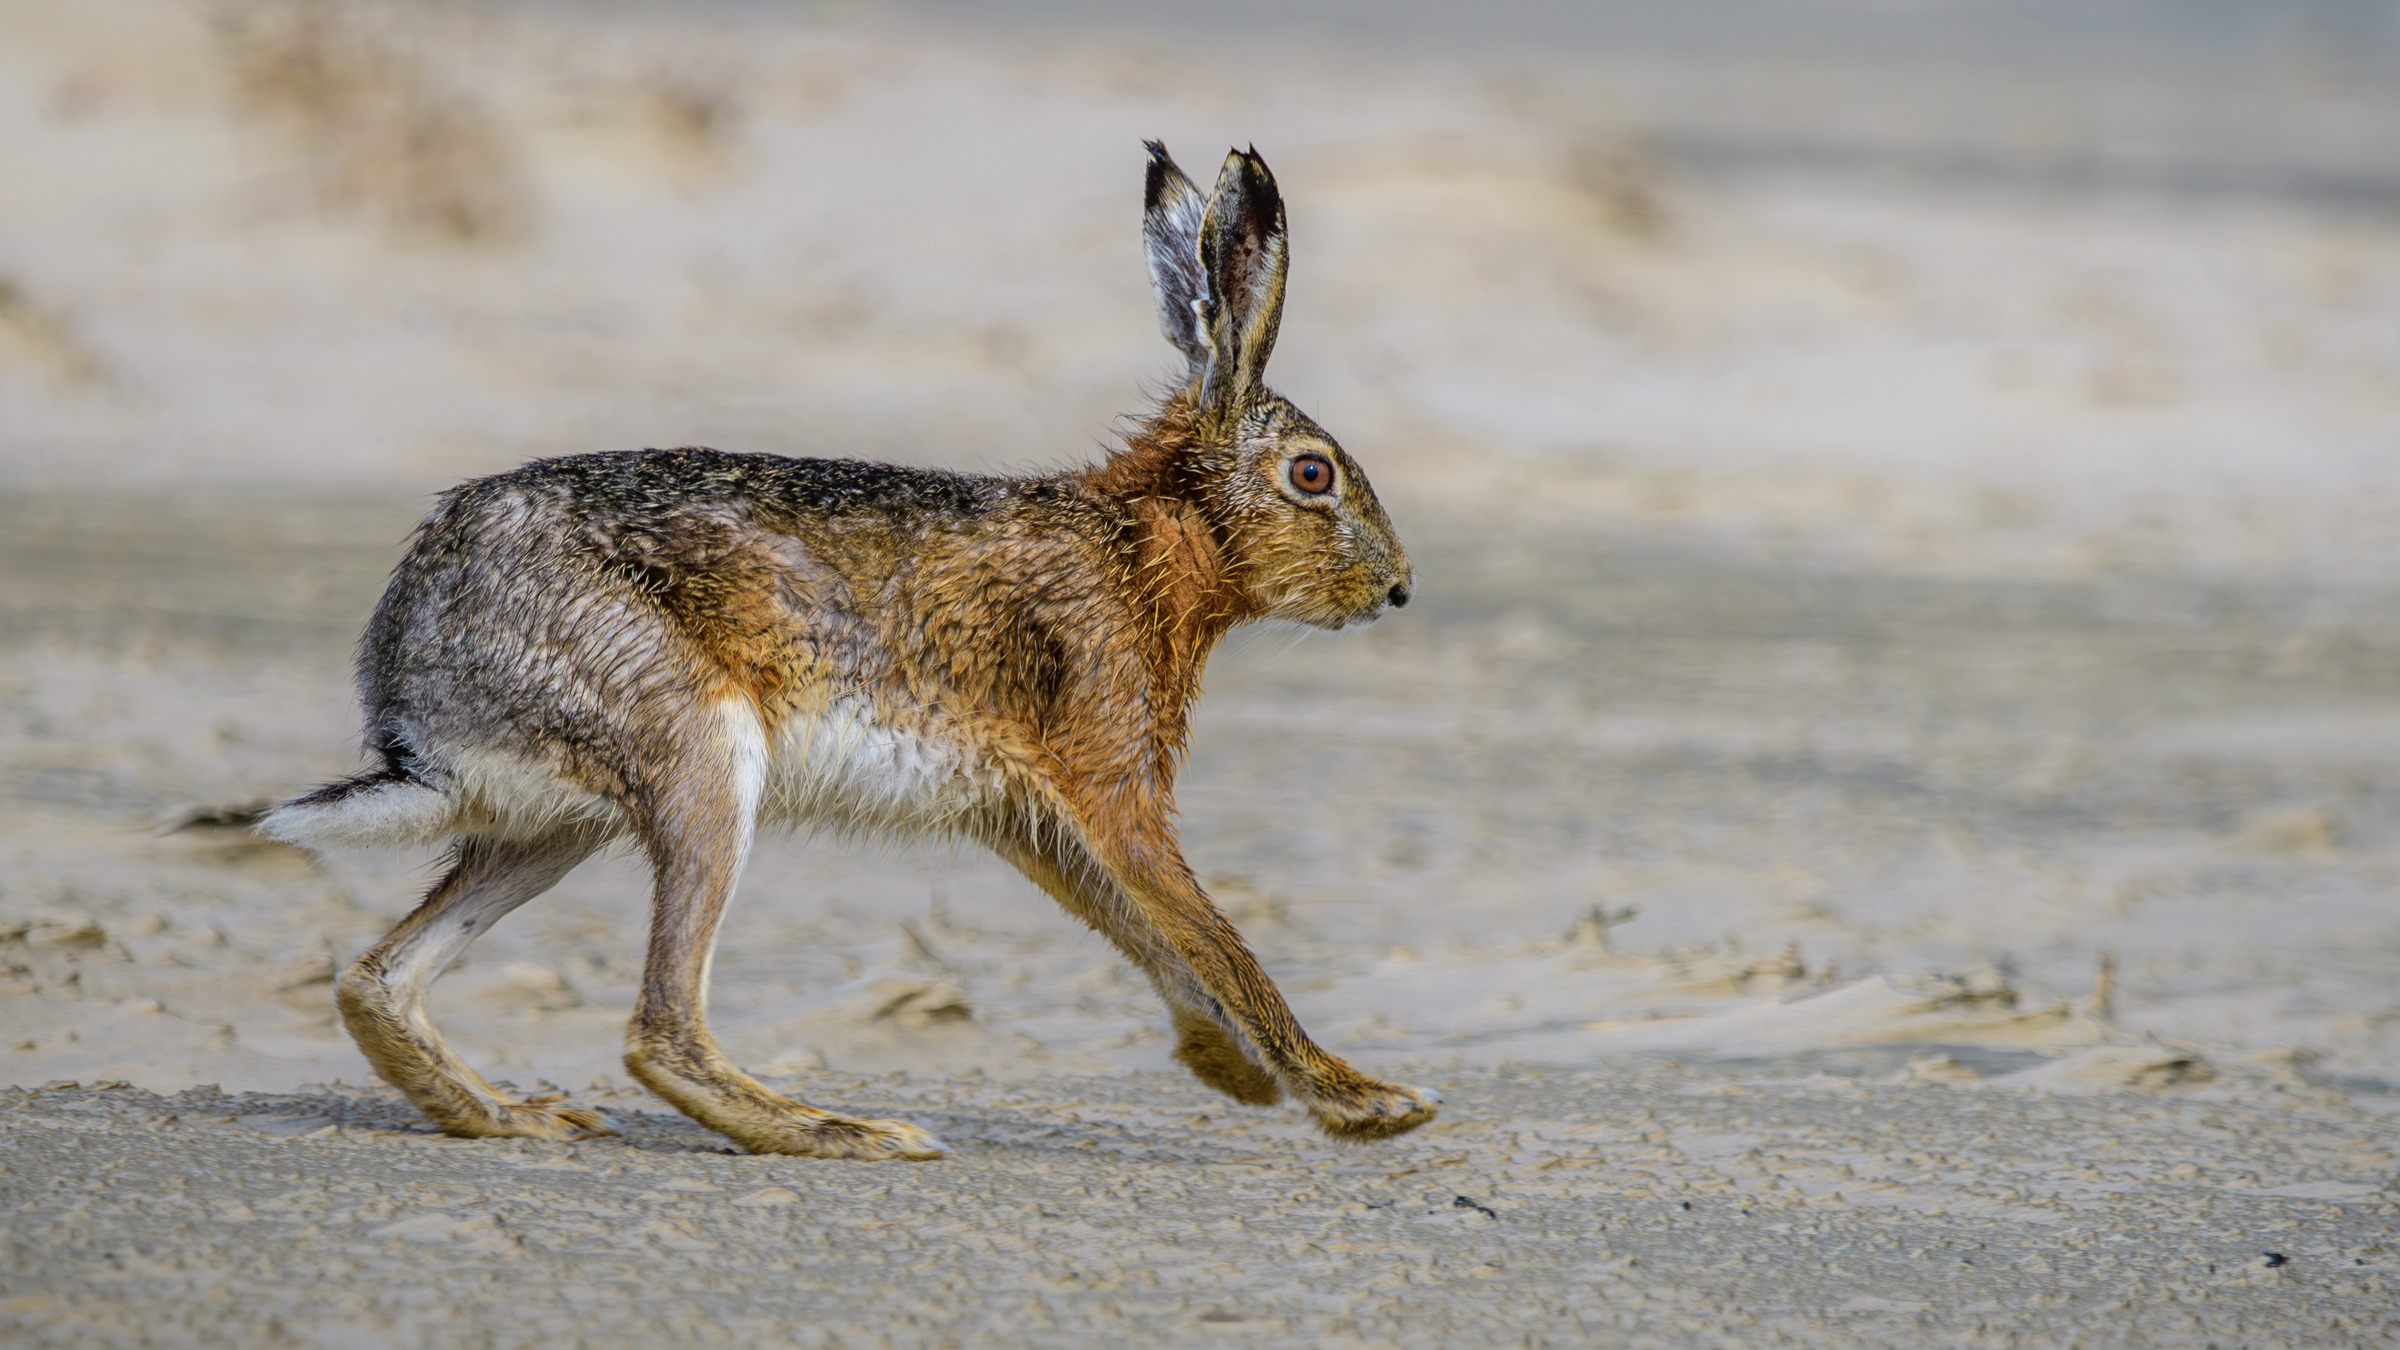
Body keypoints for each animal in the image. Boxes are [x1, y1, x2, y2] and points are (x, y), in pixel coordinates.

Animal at [262, 142, 1439, 1159]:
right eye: (1313, 475)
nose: (1397, 589)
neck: (1154, 541)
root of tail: (410, 693)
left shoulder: (1035, 817)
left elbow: (1151, 938)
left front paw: (1232, 1075)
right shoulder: (1109, 783)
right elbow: (1217, 942)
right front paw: (1366, 1104)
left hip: (563, 819)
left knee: (379, 979)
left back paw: (511, 1117)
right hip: (697, 753)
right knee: (659, 1034)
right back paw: (846, 1133)